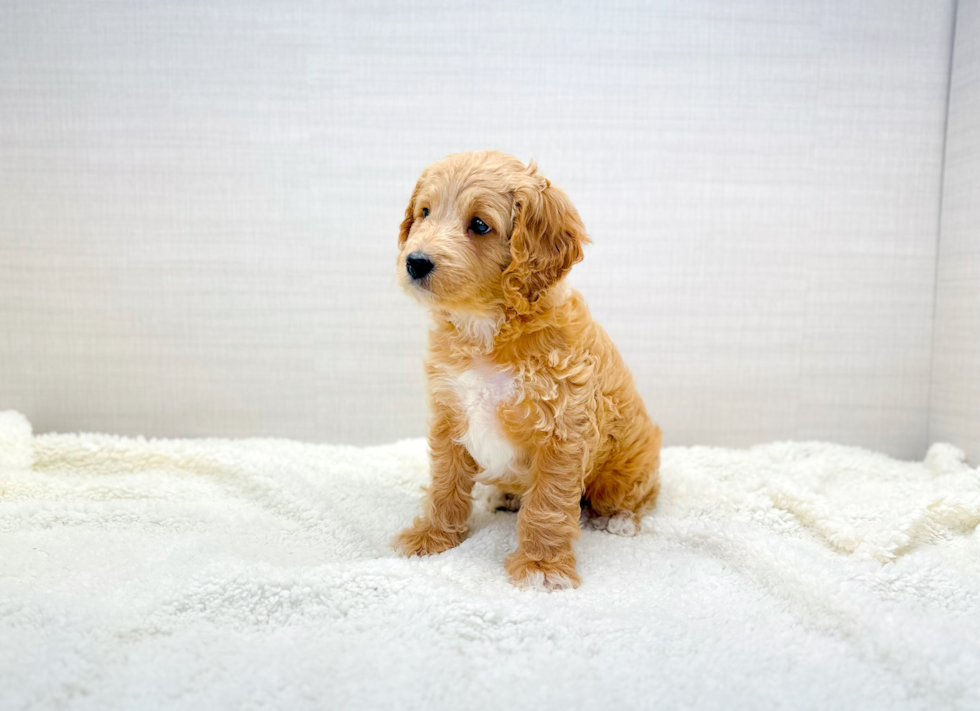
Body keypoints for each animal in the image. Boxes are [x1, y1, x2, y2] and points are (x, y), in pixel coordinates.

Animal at [394, 150, 664, 588]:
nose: (415, 262)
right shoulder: (449, 416)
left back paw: (619, 520)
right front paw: (432, 537)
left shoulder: (561, 432)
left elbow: (547, 505)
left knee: (635, 496)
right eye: (425, 213)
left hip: (630, 467)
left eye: (480, 225)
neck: (484, 327)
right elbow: (445, 485)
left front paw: (541, 566)